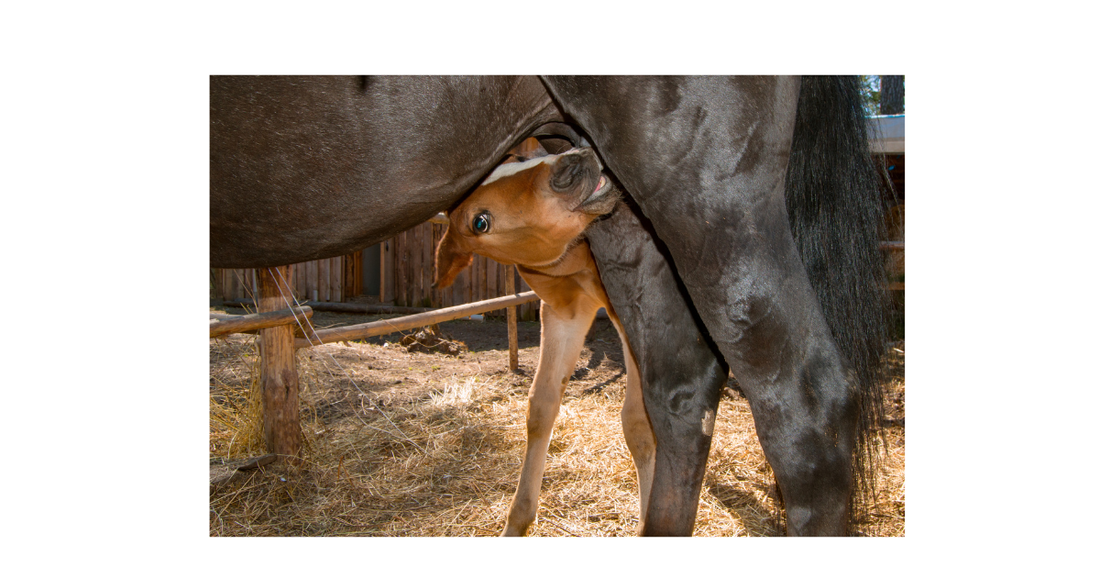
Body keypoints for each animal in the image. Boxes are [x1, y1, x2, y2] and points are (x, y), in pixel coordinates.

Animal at [210, 76, 887, 536]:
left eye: (526, 158)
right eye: (480, 216)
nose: (573, 164)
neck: (569, 258)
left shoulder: (617, 305)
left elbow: (635, 422)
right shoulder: (564, 310)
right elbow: (541, 408)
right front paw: (517, 520)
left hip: (709, 212)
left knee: (793, 404)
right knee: (685, 401)